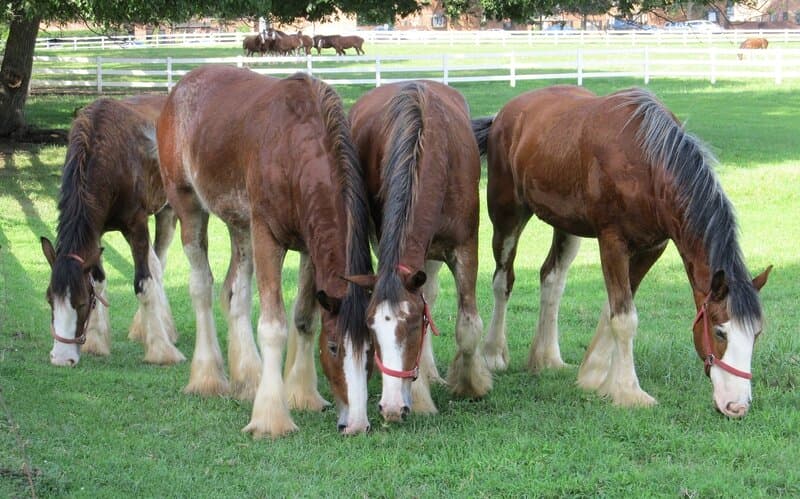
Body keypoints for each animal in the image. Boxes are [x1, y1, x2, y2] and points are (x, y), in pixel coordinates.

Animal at [42, 94, 184, 368]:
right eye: (49, 299)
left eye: (81, 303)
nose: (61, 358)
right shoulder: (94, 232)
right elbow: (98, 281)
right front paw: (96, 342)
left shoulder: (137, 226)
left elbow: (144, 284)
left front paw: (161, 351)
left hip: (168, 210)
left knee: (159, 264)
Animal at [157, 65, 376, 438]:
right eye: (334, 347)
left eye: (373, 347)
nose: (357, 423)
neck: (294, 149)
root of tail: (180, 88)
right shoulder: (267, 237)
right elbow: (274, 326)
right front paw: (272, 417)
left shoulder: (308, 249)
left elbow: (304, 319)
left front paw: (302, 395)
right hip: (189, 208)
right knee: (202, 287)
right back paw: (208, 377)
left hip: (240, 228)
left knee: (236, 294)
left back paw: (249, 379)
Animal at [346, 80, 490, 424]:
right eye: (370, 327)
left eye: (411, 327)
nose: (391, 407)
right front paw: (421, 394)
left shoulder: (466, 248)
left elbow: (468, 327)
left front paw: (471, 385)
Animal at [478, 85, 772, 418]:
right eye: (721, 332)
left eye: (756, 334)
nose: (737, 405)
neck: (648, 165)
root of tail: (504, 114)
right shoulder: (612, 242)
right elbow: (624, 317)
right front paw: (629, 392)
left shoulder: (651, 248)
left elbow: (613, 309)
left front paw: (594, 375)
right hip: (507, 217)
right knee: (503, 281)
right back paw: (493, 354)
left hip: (566, 226)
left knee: (552, 279)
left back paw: (547, 358)